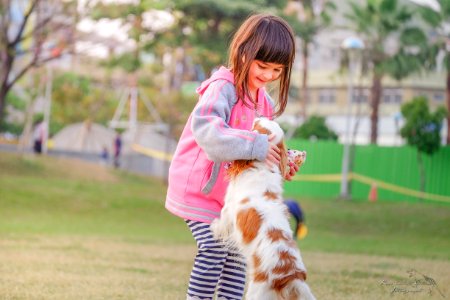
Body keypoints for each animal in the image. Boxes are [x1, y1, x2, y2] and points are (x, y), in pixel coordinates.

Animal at [210, 118, 312, 300]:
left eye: (258, 126)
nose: (259, 117)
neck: (261, 167)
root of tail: (291, 276)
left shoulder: (229, 209)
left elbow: (221, 223)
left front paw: (214, 226)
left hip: (256, 292)